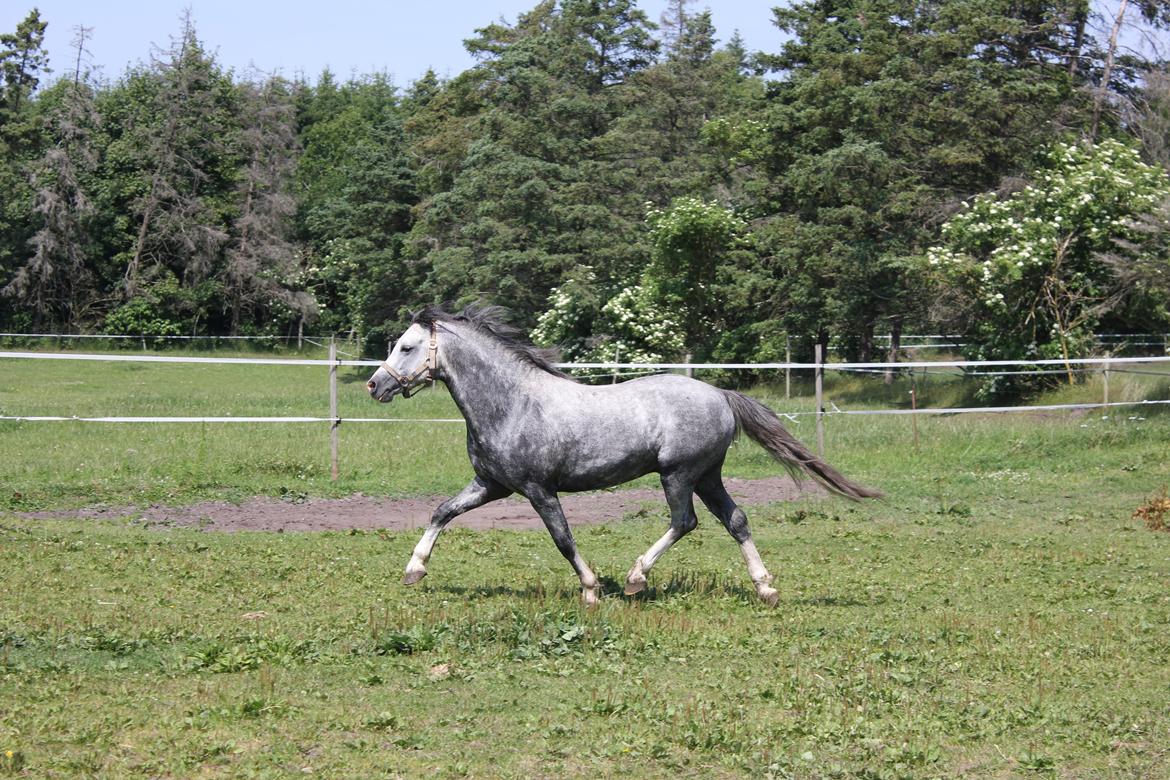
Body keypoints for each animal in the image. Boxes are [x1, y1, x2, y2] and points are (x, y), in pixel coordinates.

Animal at [366, 305, 880, 607]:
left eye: (407, 346)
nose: (376, 384)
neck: (512, 404)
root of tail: (720, 394)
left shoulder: (537, 489)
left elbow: (563, 539)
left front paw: (591, 590)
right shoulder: (491, 485)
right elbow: (441, 512)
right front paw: (414, 570)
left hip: (679, 474)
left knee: (684, 521)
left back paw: (636, 578)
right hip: (708, 476)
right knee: (736, 521)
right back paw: (766, 587)